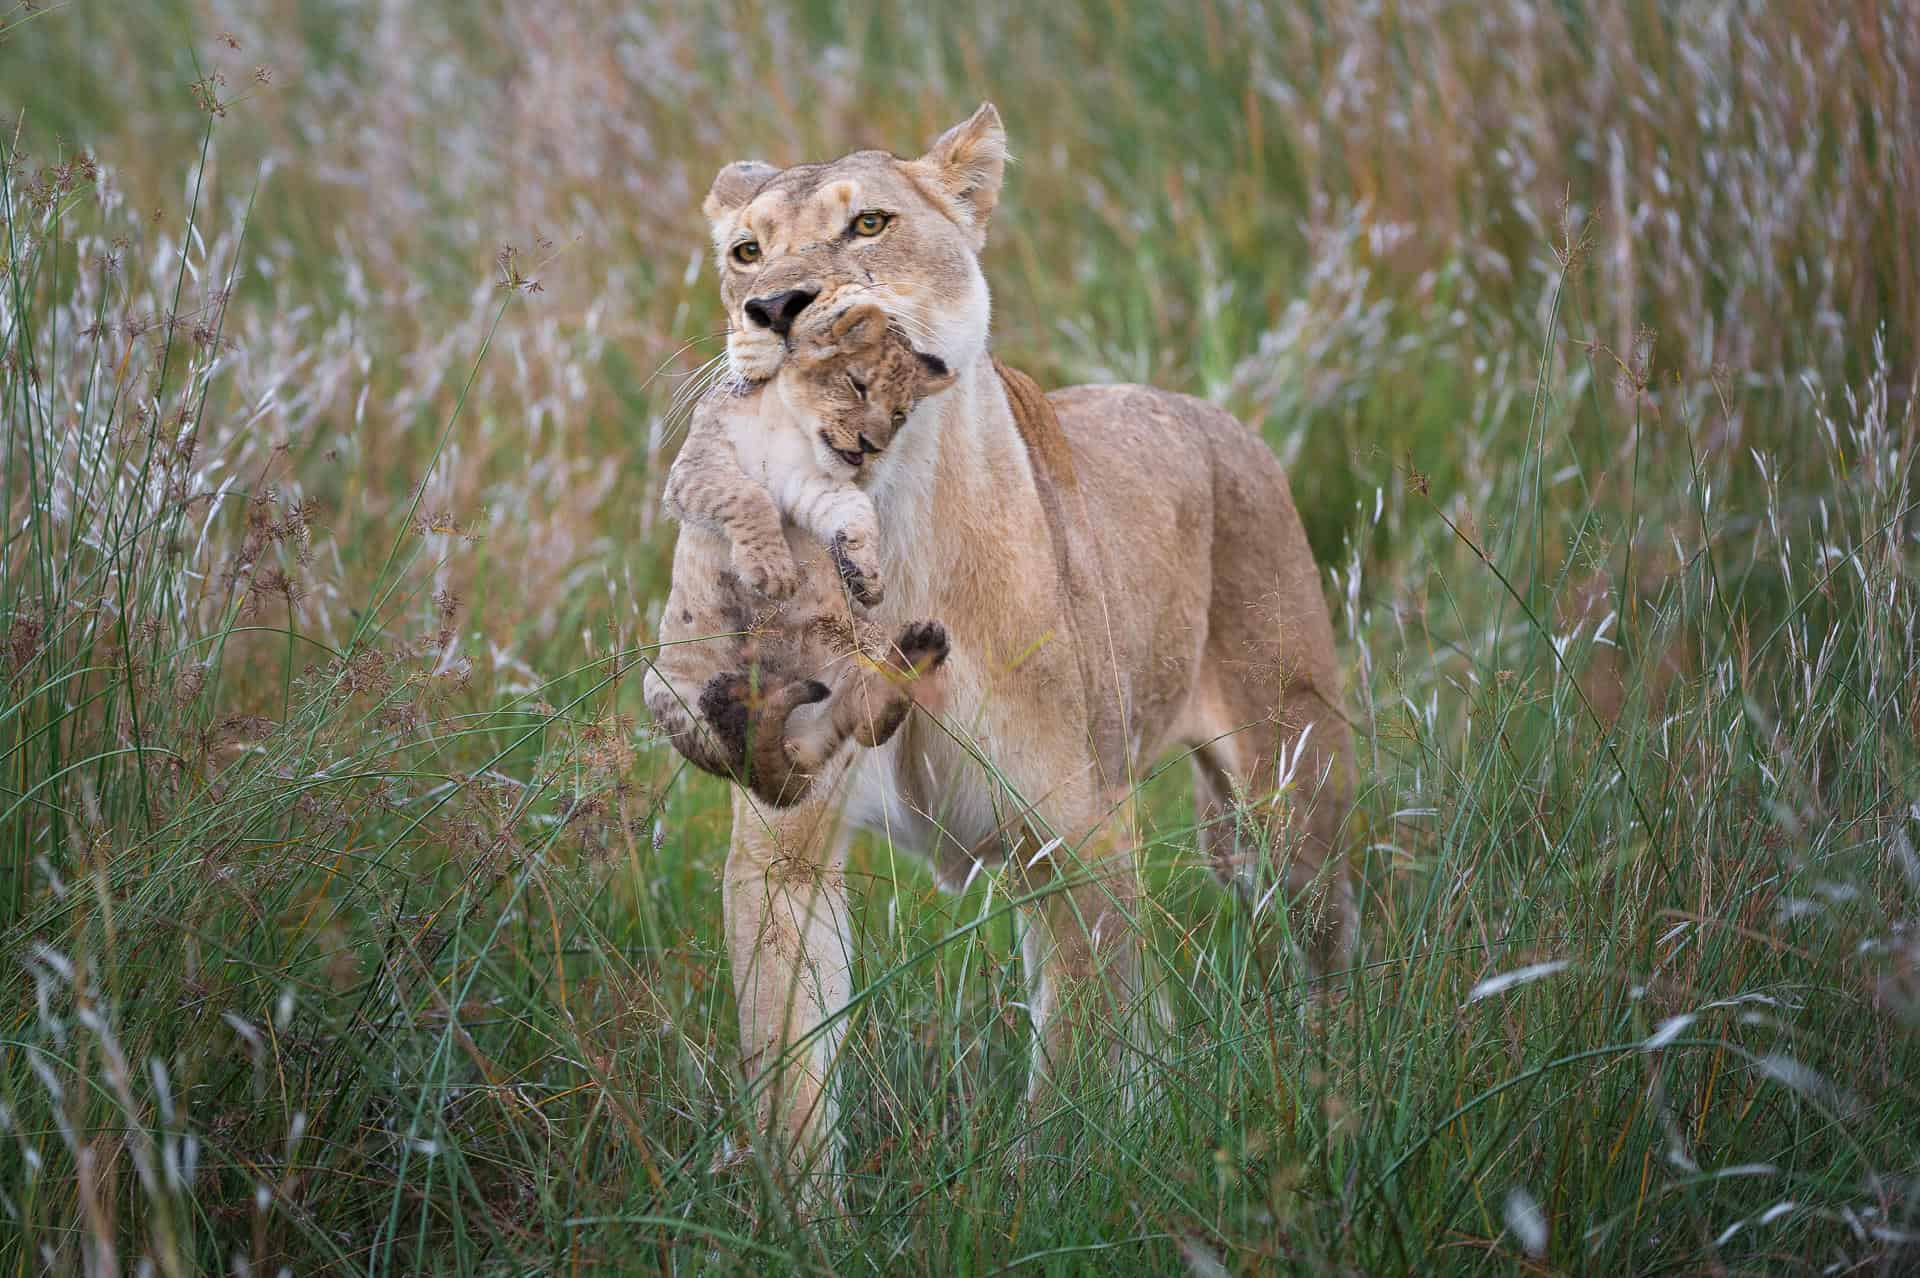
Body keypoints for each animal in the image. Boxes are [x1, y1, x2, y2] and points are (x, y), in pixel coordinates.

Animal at [673, 102, 1356, 1197]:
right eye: (745, 252)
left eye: (869, 224)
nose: (773, 307)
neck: (894, 525)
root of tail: (1217, 417)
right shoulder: (781, 859)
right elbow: (791, 1082)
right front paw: (801, 1220)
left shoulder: (1072, 836)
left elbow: (1074, 1069)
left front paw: (1042, 1200)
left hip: (1296, 784)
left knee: (1324, 954)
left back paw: (1341, 1096)